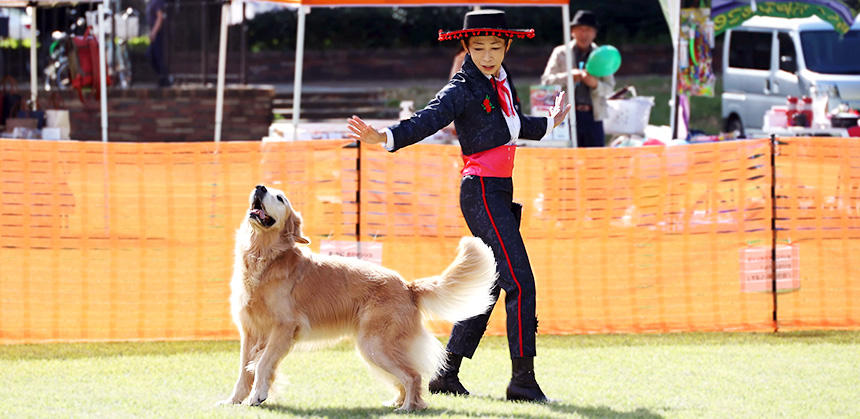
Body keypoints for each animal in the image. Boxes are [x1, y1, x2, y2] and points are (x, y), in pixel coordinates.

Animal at [220, 185, 498, 412]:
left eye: (280, 198)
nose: (260, 187)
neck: (264, 257)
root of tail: (407, 286)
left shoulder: (284, 328)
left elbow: (262, 364)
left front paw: (257, 396)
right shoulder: (250, 332)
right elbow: (244, 370)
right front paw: (234, 401)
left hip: (374, 345)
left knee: (413, 376)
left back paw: (408, 408)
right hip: (375, 349)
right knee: (404, 379)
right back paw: (397, 402)